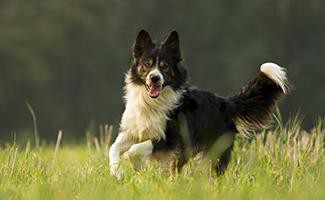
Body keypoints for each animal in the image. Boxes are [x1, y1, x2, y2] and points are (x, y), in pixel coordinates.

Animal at [109, 30, 292, 180]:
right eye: (147, 64)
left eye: (165, 67)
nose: (155, 78)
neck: (152, 102)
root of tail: (226, 103)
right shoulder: (132, 131)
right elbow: (113, 147)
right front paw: (117, 172)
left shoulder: (172, 139)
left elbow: (134, 150)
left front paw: (136, 167)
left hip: (212, 151)